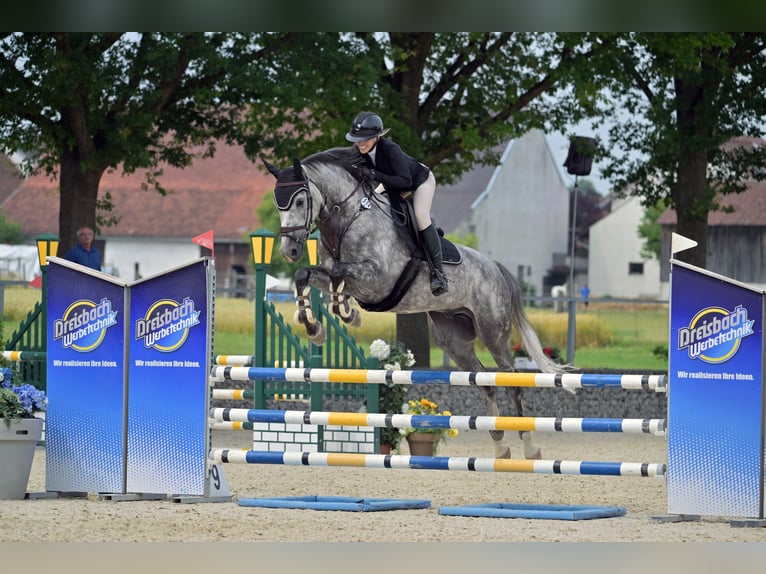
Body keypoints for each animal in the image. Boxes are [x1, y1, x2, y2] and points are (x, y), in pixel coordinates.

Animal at [264, 147, 568, 460]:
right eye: (277, 203)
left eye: (301, 200)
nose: (289, 251)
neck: (346, 219)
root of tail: (495, 267)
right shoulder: (336, 276)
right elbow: (307, 275)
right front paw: (317, 328)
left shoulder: (378, 278)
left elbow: (339, 273)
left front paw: (346, 315)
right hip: (452, 340)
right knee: (484, 383)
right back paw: (501, 447)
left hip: (493, 332)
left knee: (512, 382)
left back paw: (530, 447)